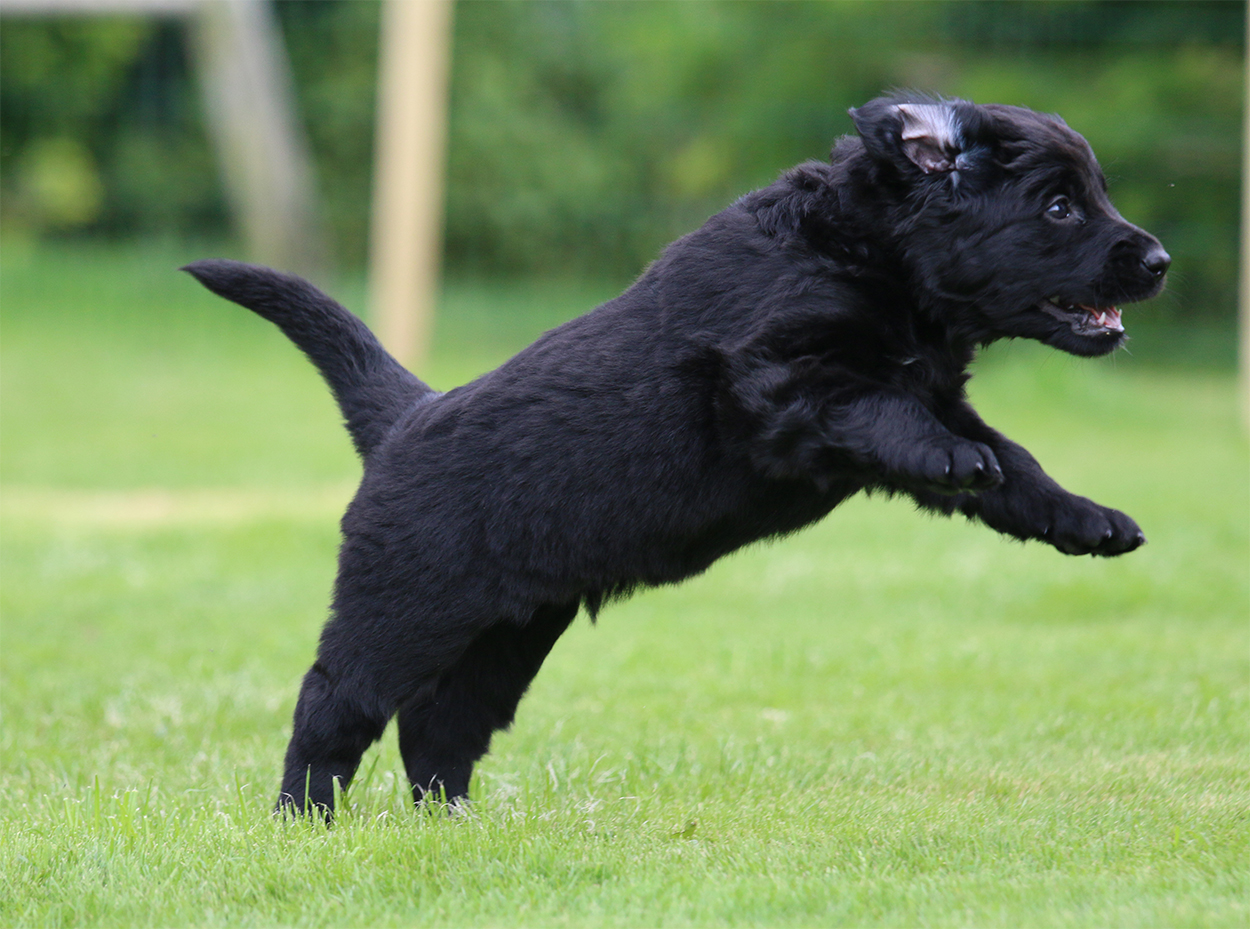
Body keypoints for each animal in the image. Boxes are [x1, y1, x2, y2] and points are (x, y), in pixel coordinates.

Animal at [184, 95, 1169, 815]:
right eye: (1057, 206)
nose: (1159, 259)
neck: (872, 253)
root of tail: (402, 417)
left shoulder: (935, 394)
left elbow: (1017, 463)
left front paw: (1088, 519)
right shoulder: (773, 380)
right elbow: (882, 408)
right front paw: (956, 460)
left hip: (510, 633)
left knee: (439, 729)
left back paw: (455, 827)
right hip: (400, 608)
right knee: (333, 706)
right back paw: (304, 821)